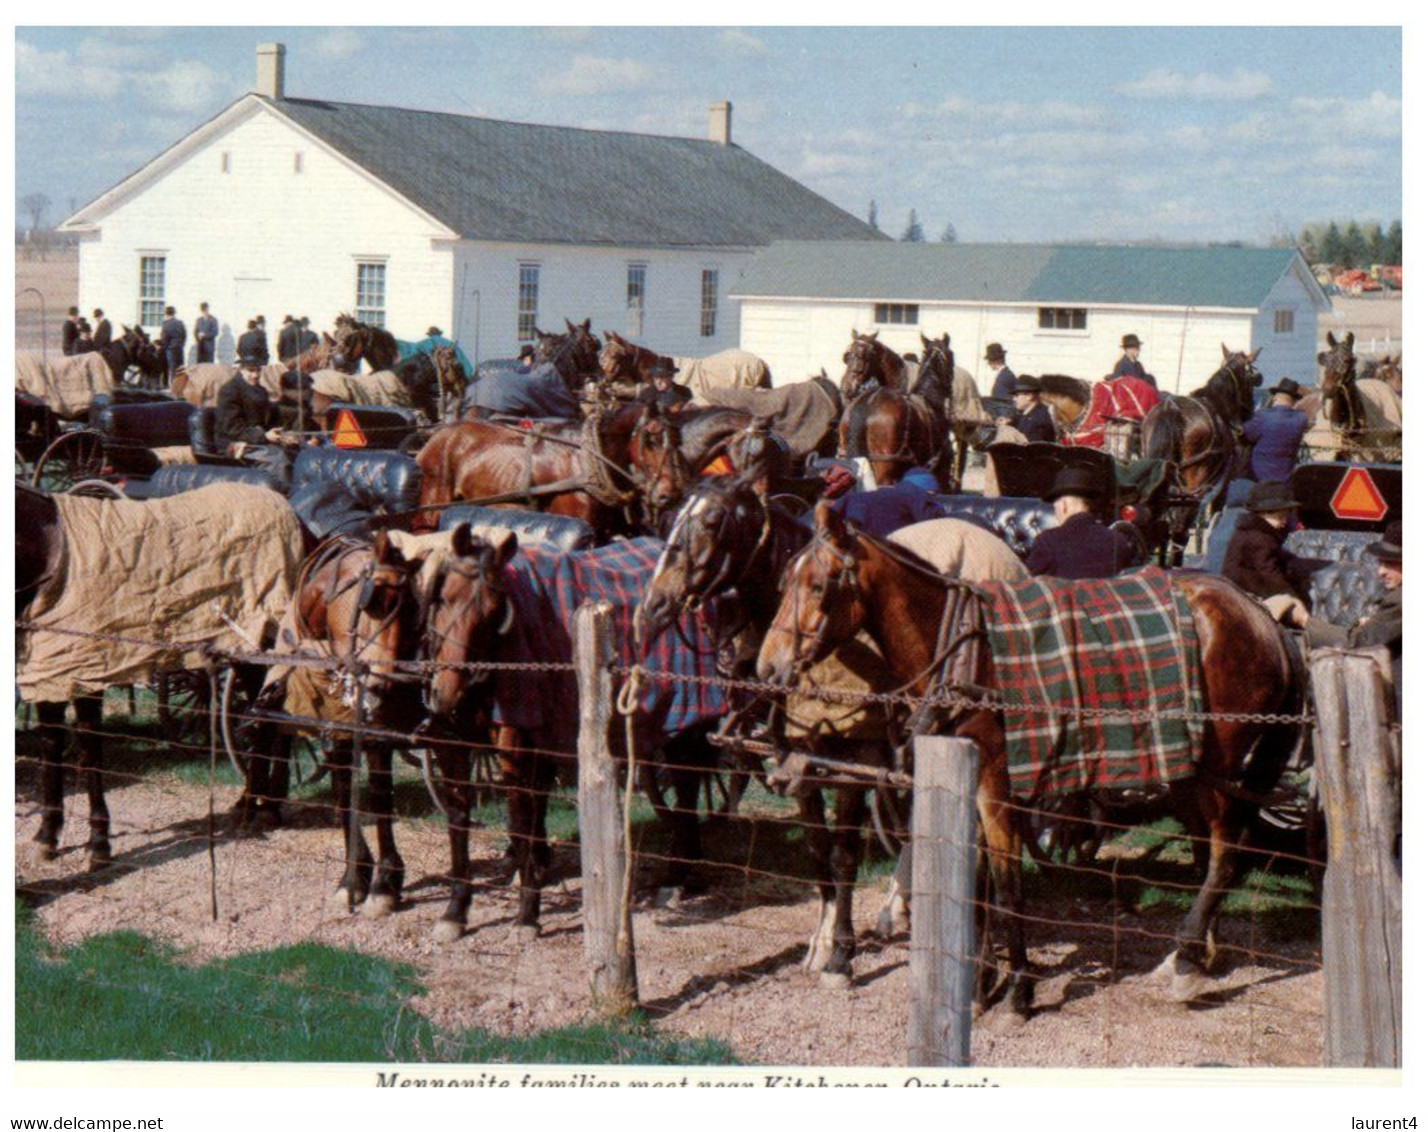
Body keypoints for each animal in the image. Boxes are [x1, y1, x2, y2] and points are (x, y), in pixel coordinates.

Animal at [759, 499, 1308, 1010]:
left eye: (819, 586)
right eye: (783, 581)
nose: (767, 667)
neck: (965, 648)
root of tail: (1264, 618)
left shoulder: (996, 781)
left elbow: (1005, 883)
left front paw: (1017, 989)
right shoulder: (968, 777)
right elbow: (979, 881)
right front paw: (981, 979)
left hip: (1217, 763)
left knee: (1227, 849)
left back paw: (1189, 958)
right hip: (1191, 769)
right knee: (1209, 847)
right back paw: (1187, 954)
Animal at [1136, 346, 1262, 553]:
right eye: (1252, 378)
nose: (1250, 411)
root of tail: (1171, 409)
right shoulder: (1223, 484)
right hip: (1196, 481)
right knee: (1180, 526)